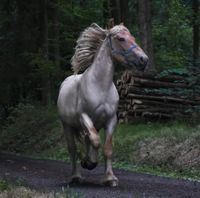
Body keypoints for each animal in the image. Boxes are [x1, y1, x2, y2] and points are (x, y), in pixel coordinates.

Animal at [57, 22, 148, 186]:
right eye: (121, 38)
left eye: (132, 37)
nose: (143, 59)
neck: (100, 86)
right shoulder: (84, 117)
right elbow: (96, 141)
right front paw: (90, 163)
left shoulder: (111, 120)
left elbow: (107, 148)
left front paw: (110, 178)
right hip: (67, 125)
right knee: (73, 149)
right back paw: (76, 176)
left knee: (88, 140)